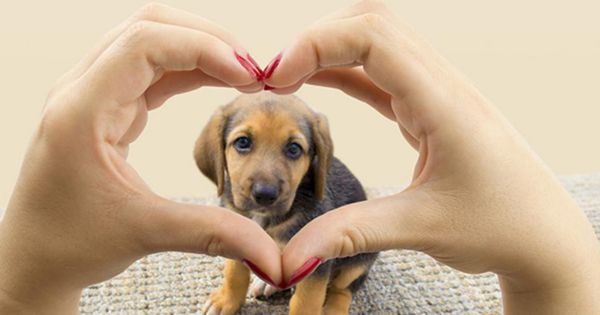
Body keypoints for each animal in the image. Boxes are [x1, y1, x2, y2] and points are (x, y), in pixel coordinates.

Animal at [196, 92, 376, 314]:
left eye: (294, 148)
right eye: (243, 142)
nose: (265, 195)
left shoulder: (315, 261)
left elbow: (306, 302)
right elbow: (234, 273)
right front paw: (225, 301)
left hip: (358, 260)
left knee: (342, 290)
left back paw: (333, 308)